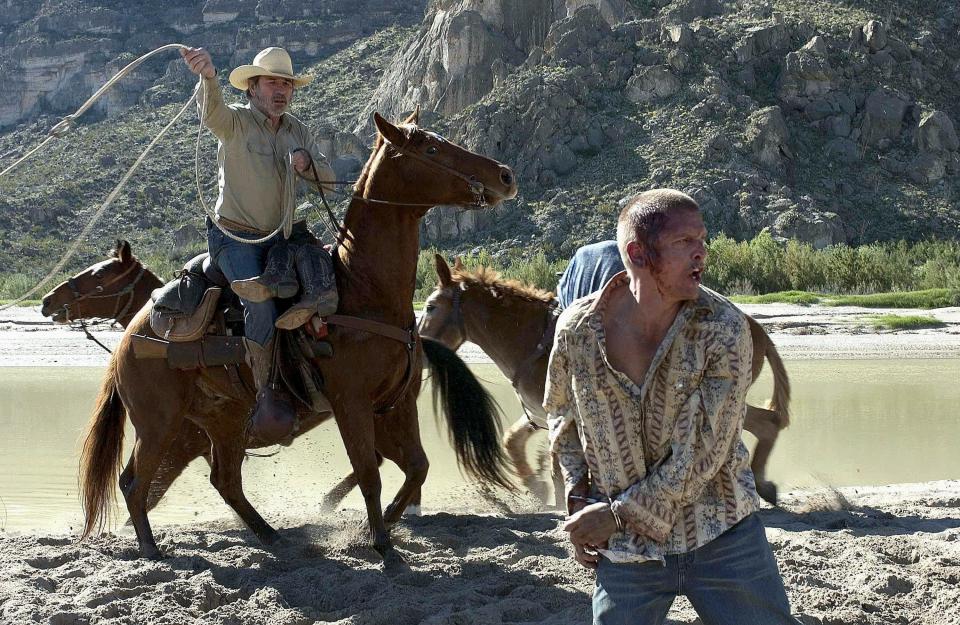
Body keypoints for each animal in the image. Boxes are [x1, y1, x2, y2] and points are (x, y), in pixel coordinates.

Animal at [77, 111, 516, 556]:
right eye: (431, 148)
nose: (504, 175)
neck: (363, 291)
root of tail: (130, 340)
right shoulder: (352, 403)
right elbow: (370, 473)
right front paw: (380, 543)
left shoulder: (397, 403)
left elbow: (416, 468)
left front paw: (380, 527)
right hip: (159, 424)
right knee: (137, 483)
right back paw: (152, 550)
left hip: (222, 422)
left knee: (223, 480)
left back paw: (272, 536)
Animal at [418, 254, 788, 508]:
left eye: (431, 306)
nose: (420, 348)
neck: (531, 341)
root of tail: (756, 326)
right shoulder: (539, 414)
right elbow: (514, 443)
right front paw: (537, 488)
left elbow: (557, 466)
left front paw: (555, 499)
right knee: (766, 422)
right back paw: (763, 484)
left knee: (763, 424)